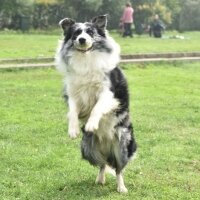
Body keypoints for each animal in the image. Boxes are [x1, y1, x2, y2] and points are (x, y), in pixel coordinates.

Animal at [55, 14, 137, 193]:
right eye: (76, 33)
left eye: (90, 32)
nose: (82, 40)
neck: (86, 59)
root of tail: (107, 148)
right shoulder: (73, 93)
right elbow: (72, 111)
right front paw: (73, 130)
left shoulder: (109, 92)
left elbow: (97, 108)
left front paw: (92, 124)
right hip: (88, 148)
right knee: (102, 164)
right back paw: (100, 179)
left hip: (122, 144)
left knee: (118, 168)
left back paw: (121, 188)